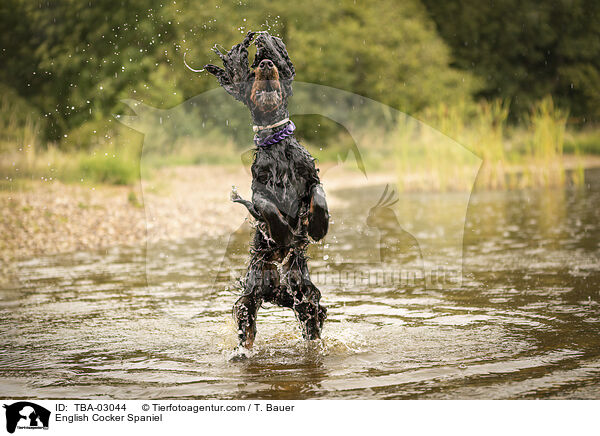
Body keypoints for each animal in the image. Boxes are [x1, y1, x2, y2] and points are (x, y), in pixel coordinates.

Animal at [205, 31, 328, 350]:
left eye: (275, 64)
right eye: (252, 70)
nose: (266, 64)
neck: (276, 145)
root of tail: (276, 288)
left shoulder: (310, 175)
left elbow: (319, 196)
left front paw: (318, 227)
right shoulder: (258, 191)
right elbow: (270, 209)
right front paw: (283, 233)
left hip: (305, 296)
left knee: (314, 320)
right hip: (250, 298)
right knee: (246, 329)